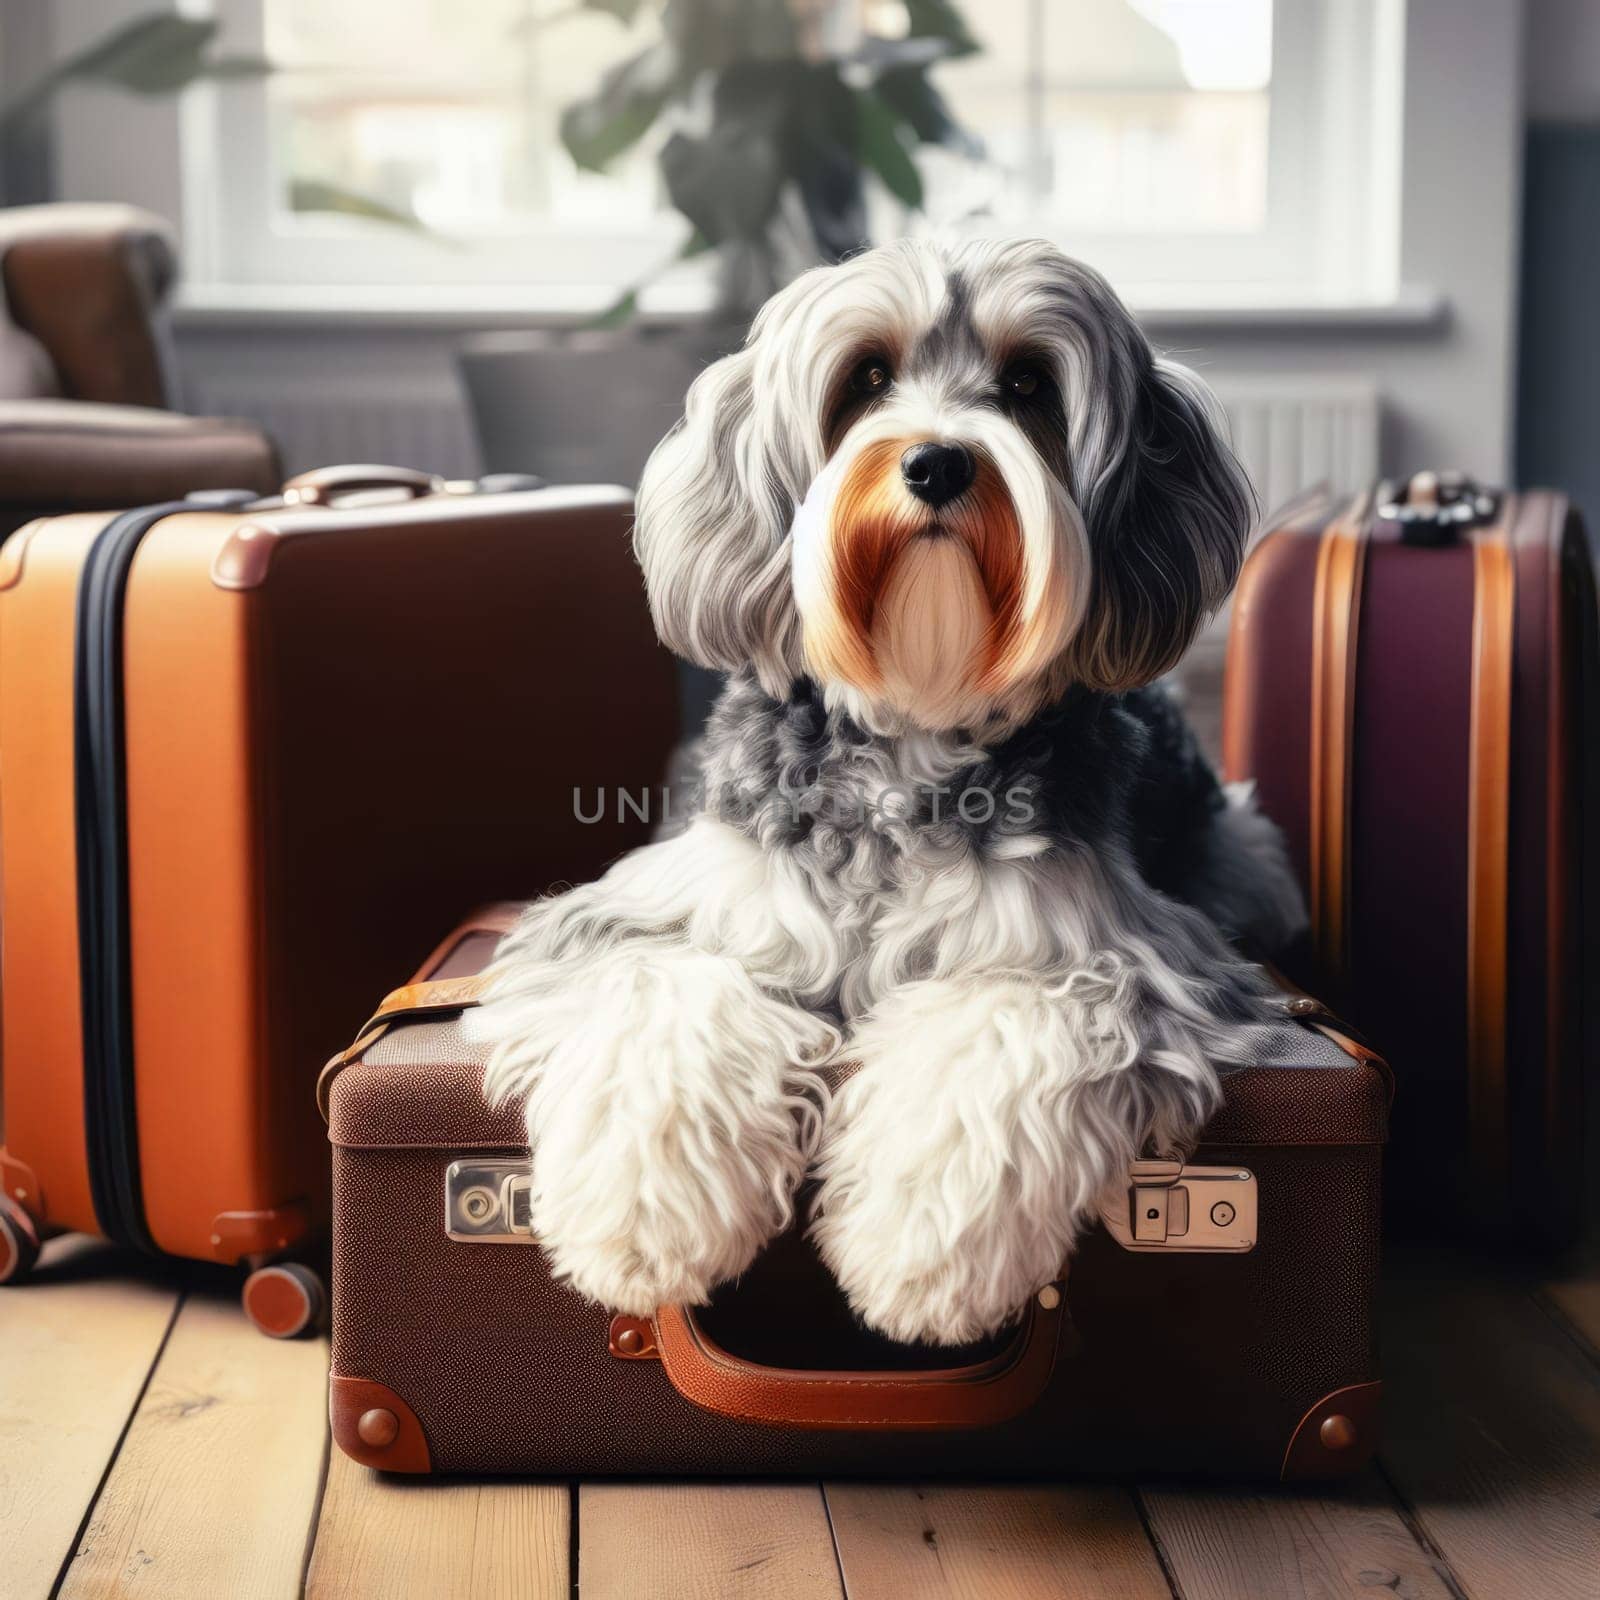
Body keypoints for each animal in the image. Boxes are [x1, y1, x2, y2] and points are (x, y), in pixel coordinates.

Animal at [470, 233, 1299, 1337]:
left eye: (1028, 383)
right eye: (866, 378)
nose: (937, 461)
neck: (912, 724)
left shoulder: (1123, 954)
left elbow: (1005, 1025)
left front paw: (925, 1253)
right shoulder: (654, 910)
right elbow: (667, 987)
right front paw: (646, 1217)